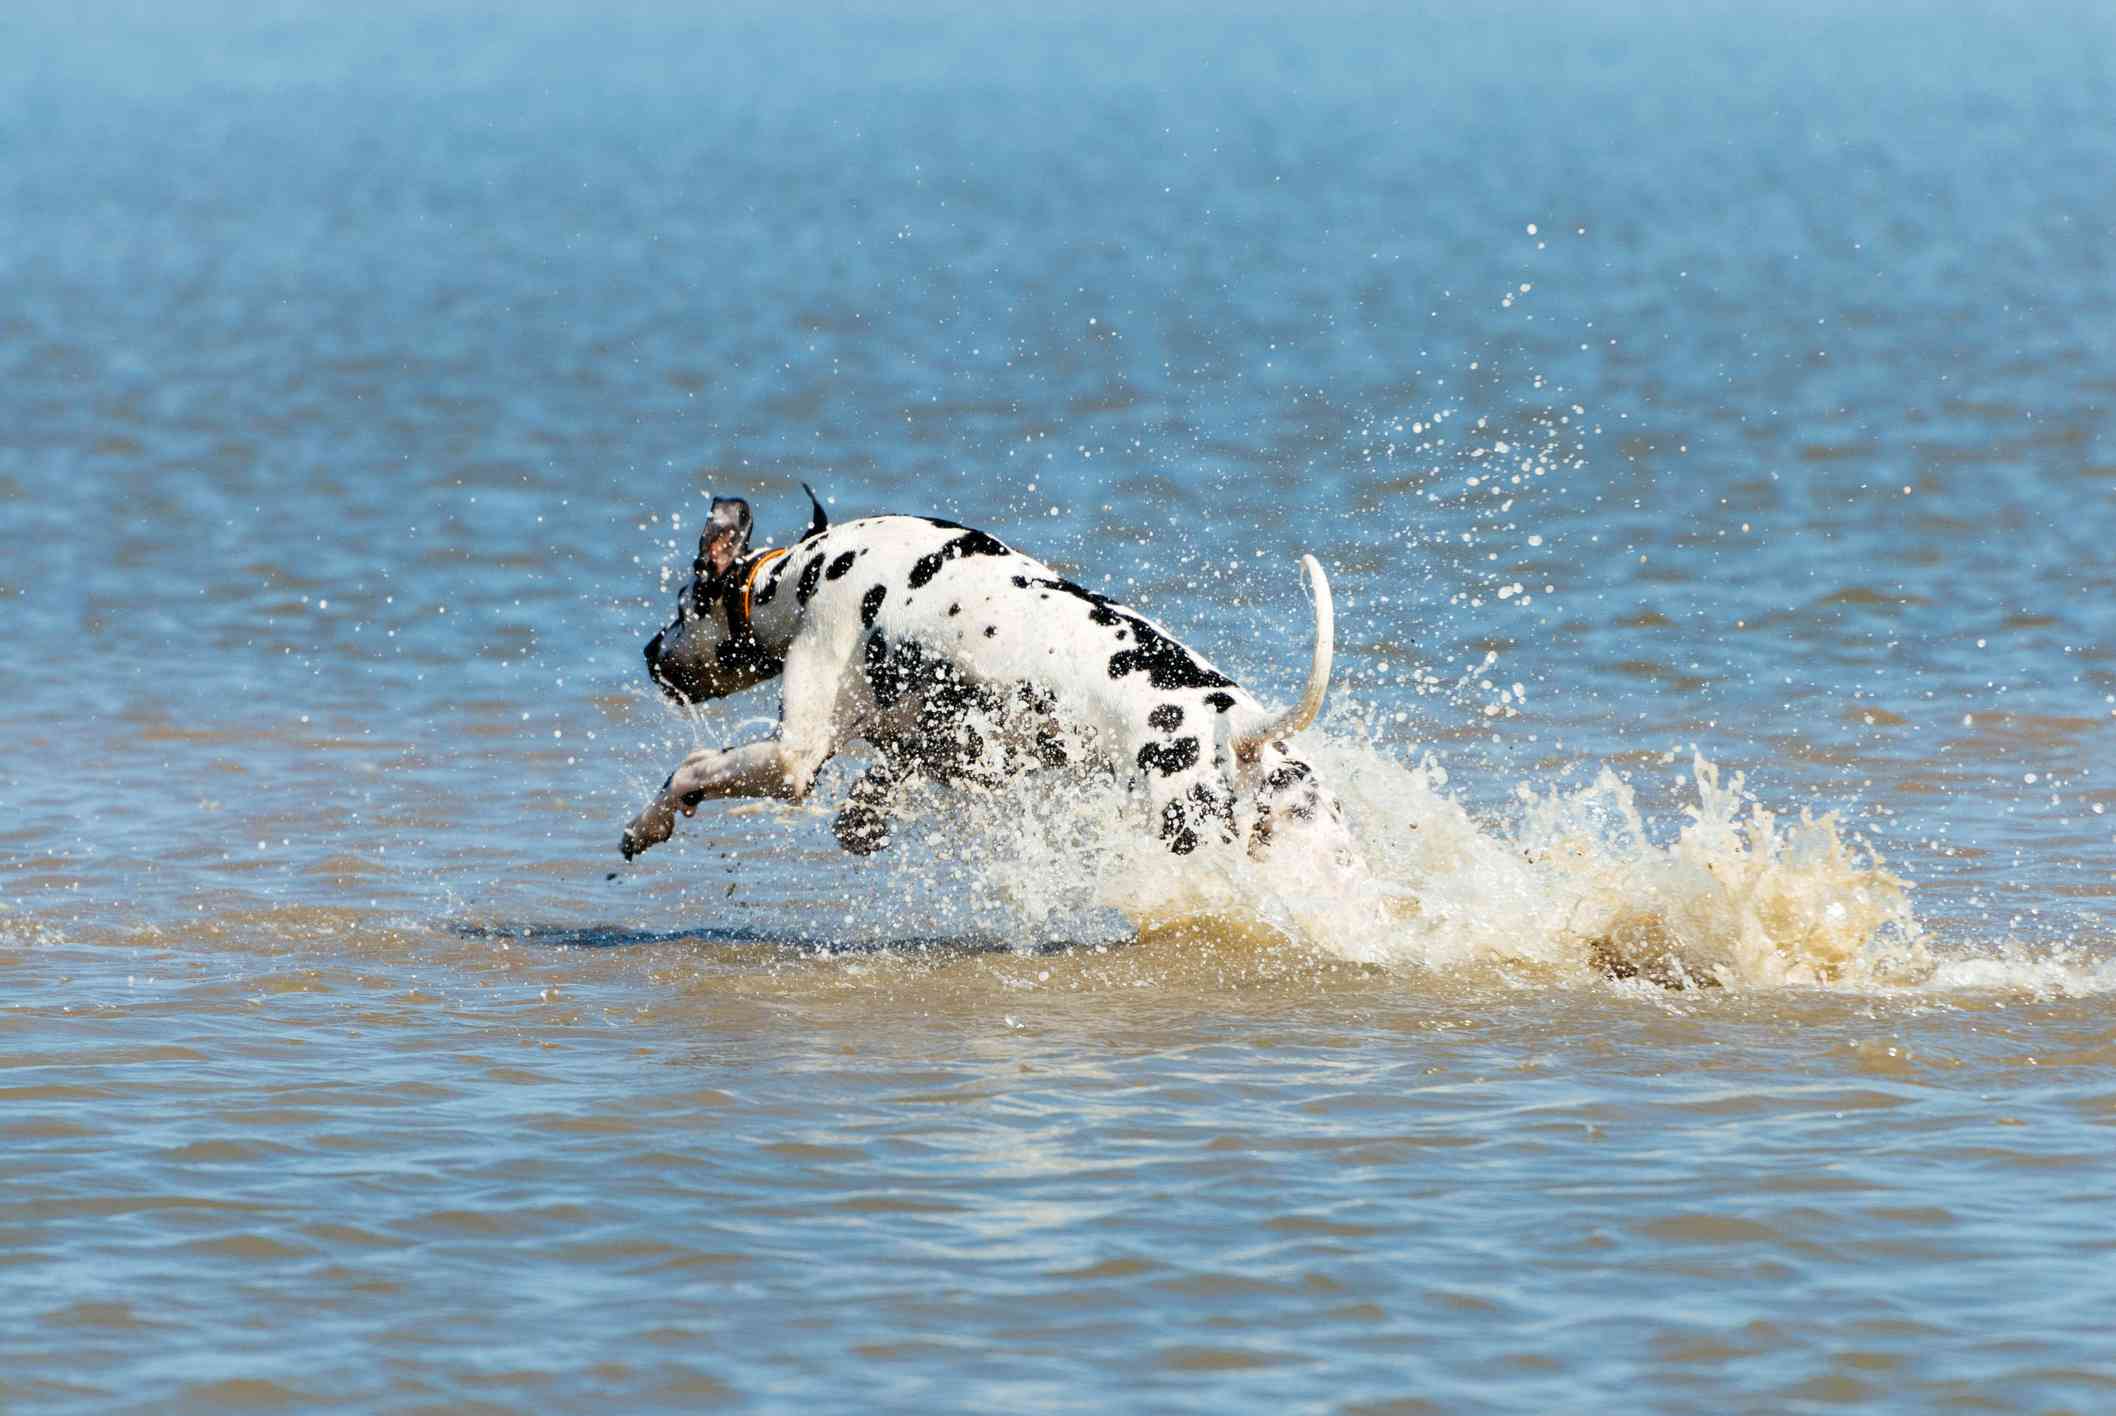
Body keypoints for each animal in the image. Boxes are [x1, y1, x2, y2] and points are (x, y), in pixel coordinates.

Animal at [617, 486, 1354, 863]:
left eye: (681, 603)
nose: (650, 651)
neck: (807, 569)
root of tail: (1239, 726)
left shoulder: (791, 755)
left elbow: (689, 768)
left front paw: (647, 823)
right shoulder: (947, 744)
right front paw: (862, 819)